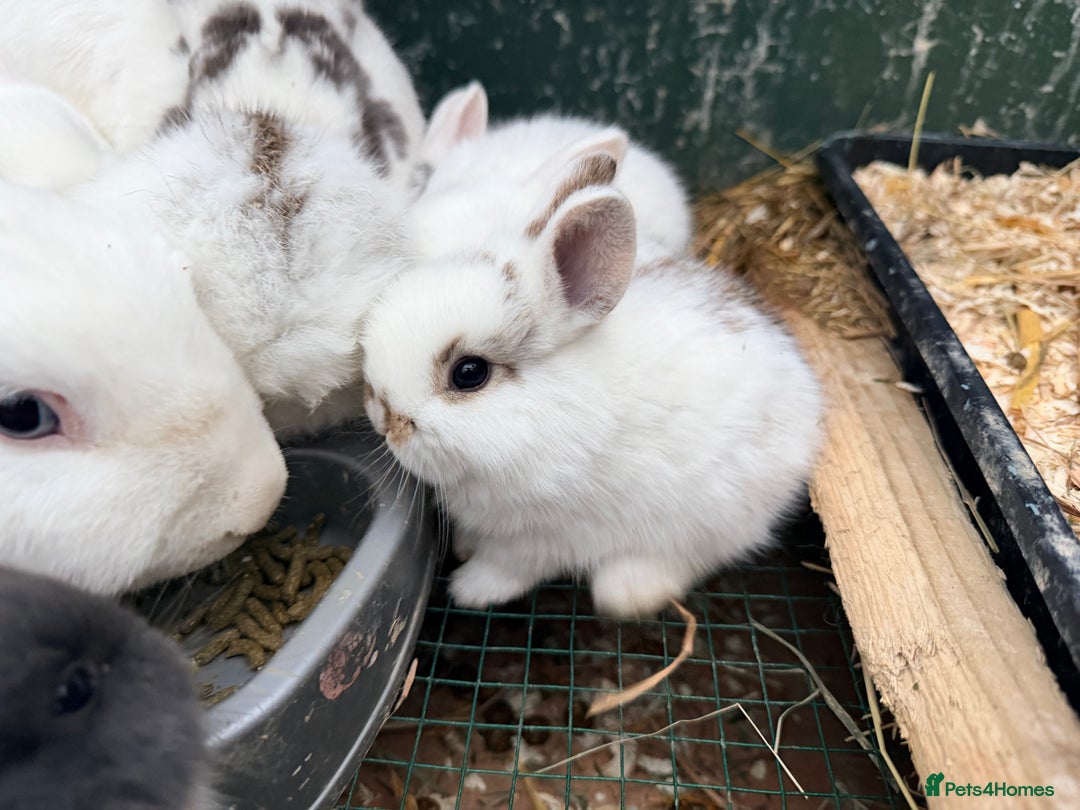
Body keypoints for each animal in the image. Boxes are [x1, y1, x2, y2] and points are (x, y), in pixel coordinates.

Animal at [360, 151, 823, 618]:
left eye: (469, 373)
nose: (384, 416)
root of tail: (807, 389)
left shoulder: (543, 536)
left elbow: (507, 568)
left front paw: (469, 589)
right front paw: (464, 547)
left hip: (716, 516)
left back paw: (630, 589)